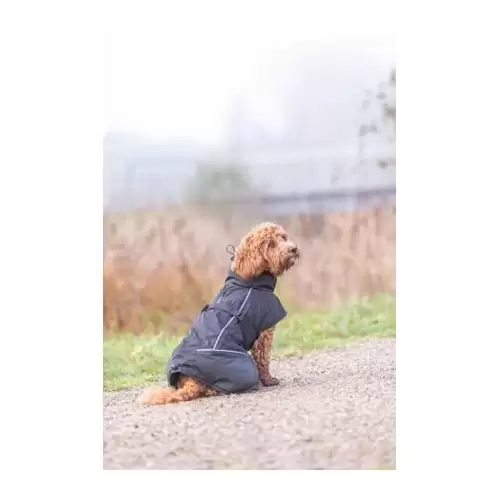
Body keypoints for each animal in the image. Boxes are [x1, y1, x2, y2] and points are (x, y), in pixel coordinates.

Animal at [137, 222, 300, 405]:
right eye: (271, 244)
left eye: (283, 238)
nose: (293, 249)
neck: (248, 281)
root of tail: (191, 382)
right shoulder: (264, 334)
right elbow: (263, 360)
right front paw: (269, 381)